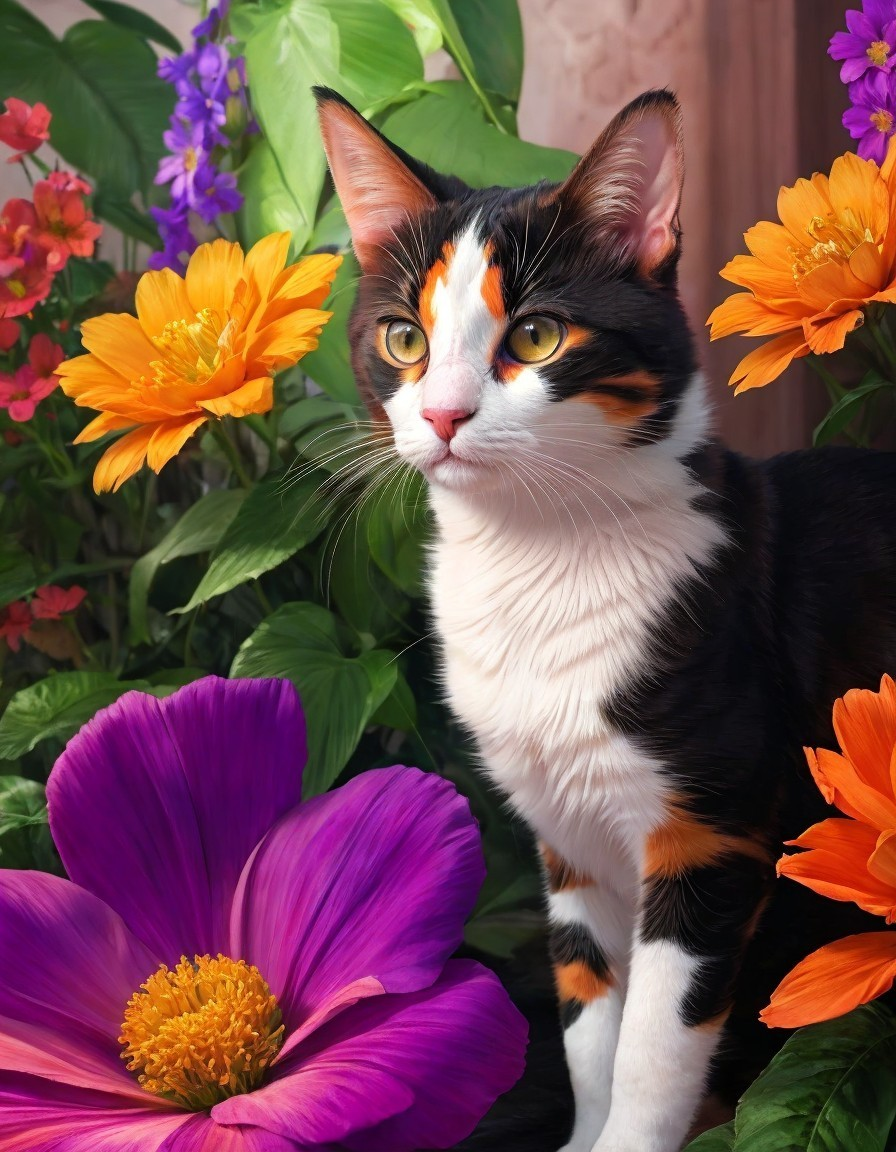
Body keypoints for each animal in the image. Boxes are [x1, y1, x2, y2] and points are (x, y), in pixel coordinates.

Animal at [313, 83, 893, 1152]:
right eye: (405, 339)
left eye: (537, 336)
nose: (444, 415)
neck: (535, 564)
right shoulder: (569, 843)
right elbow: (589, 1026)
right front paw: (584, 1132)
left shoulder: (711, 831)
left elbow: (652, 1048)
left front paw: (630, 1132)